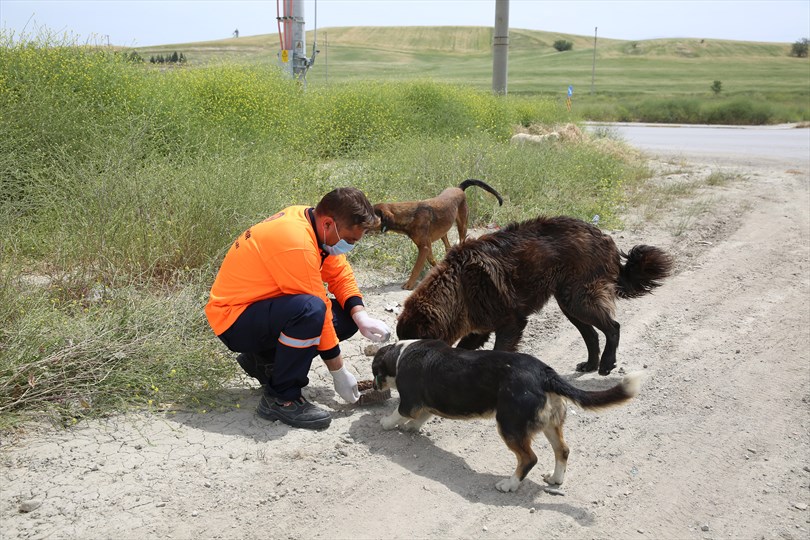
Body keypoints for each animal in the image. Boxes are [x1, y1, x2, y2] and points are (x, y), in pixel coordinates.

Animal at [370, 178, 498, 288]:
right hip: (444, 231)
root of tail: (459, 188)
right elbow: (431, 260)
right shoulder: (427, 247)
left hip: (462, 225)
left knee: (462, 240)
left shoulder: (424, 247)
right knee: (448, 246)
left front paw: (409, 284)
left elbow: (416, 268)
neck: (409, 215)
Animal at [370, 342, 640, 494]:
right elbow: (421, 417)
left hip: (509, 425)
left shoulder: (409, 401)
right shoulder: (426, 403)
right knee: (562, 450)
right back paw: (555, 479)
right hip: (550, 424)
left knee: (529, 458)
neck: (401, 353)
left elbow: (397, 414)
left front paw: (385, 423)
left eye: (374, 371)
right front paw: (410, 427)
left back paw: (509, 484)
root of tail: (545, 374)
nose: (373, 387)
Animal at [394, 215, 672, 376]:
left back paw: (605, 364)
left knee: (613, 328)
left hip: (578, 299)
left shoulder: (511, 323)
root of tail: (605, 237)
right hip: (568, 303)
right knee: (592, 335)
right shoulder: (478, 329)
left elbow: (500, 351)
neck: (459, 285)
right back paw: (591, 364)